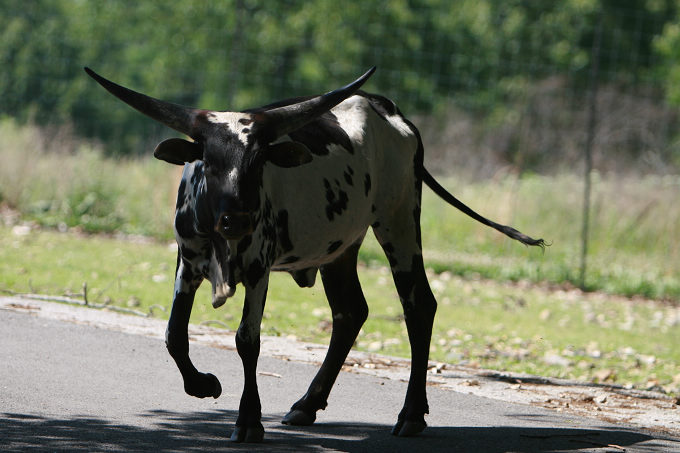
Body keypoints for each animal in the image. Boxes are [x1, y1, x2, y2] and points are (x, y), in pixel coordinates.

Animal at [85, 67, 544, 442]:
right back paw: (307, 404)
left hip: (398, 222)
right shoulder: (188, 260)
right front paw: (204, 385)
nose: (237, 218)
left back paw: (411, 414)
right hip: (340, 247)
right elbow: (174, 334)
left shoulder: (258, 267)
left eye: (258, 162)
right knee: (350, 311)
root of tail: (387, 109)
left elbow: (246, 340)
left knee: (418, 305)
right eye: (209, 161)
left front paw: (248, 420)